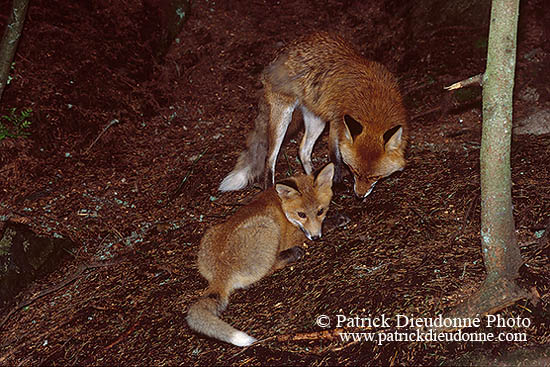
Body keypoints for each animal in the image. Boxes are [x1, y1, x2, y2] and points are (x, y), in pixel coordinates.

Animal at [190, 164, 334, 348]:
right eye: (302, 214)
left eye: (320, 211)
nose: (316, 237)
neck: (281, 205)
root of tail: (220, 272)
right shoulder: (293, 236)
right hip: (268, 228)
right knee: (269, 267)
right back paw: (293, 254)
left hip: (210, 232)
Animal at [221, 32, 410, 198]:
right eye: (354, 171)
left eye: (375, 177)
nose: (359, 196)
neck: (373, 100)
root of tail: (281, 53)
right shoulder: (337, 121)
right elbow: (335, 156)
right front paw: (338, 182)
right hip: (284, 117)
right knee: (270, 158)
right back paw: (271, 188)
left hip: (317, 120)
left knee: (303, 150)